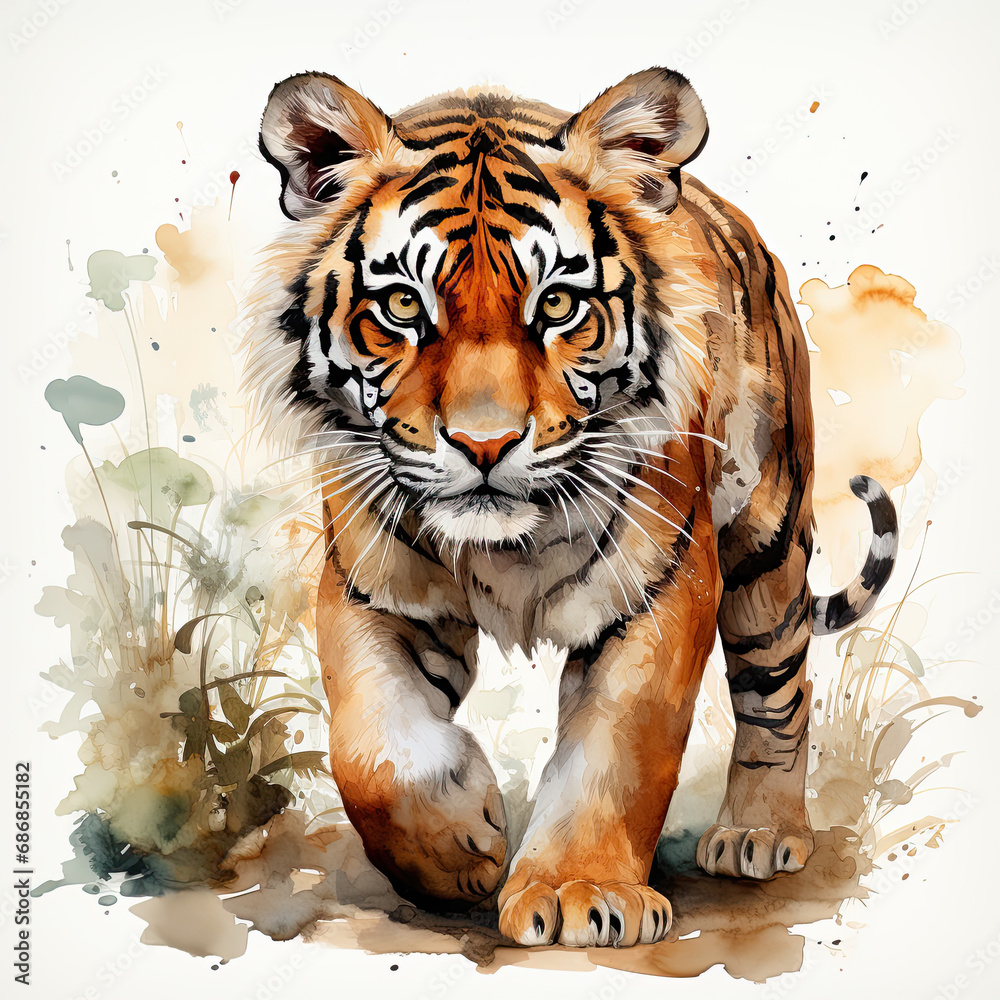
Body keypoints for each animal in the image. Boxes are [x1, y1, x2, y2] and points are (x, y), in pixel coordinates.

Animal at [245, 67, 898, 948]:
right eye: (405, 308)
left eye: (557, 306)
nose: (484, 444)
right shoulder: (372, 588)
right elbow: (370, 746)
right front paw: (460, 846)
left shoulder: (661, 585)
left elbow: (620, 746)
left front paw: (578, 891)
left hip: (764, 542)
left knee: (778, 690)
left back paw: (759, 833)